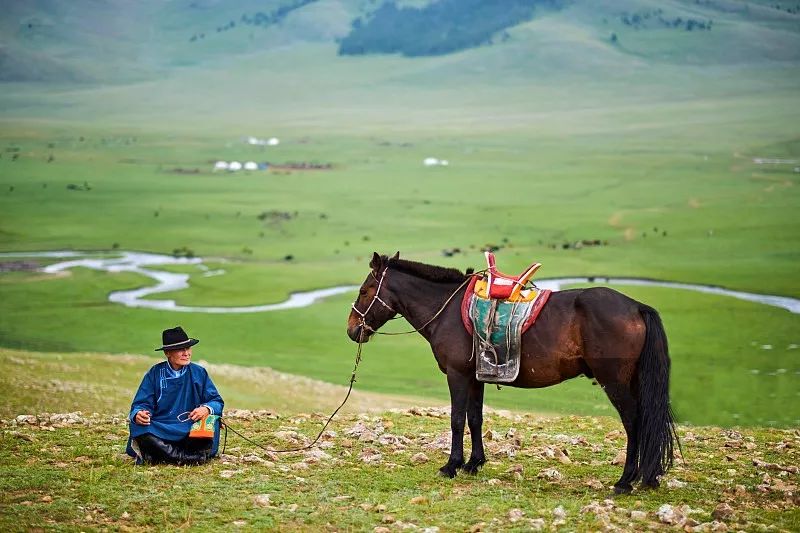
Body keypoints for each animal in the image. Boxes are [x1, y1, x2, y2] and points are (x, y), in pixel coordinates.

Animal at [346, 251, 680, 492]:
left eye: (364, 291)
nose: (352, 330)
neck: (448, 310)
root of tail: (636, 307)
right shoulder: (475, 377)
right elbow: (475, 418)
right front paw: (474, 463)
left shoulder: (456, 375)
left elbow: (456, 420)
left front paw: (451, 466)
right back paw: (645, 477)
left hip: (615, 382)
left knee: (633, 422)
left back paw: (625, 481)